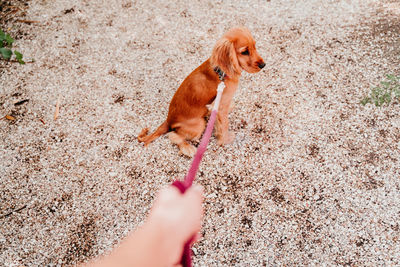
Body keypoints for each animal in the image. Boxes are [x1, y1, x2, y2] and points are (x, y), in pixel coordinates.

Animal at [138, 27, 266, 157]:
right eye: (244, 52)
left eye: (254, 46)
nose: (263, 65)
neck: (221, 71)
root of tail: (168, 120)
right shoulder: (221, 105)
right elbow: (224, 125)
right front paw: (226, 140)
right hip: (199, 124)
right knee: (173, 135)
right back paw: (188, 148)